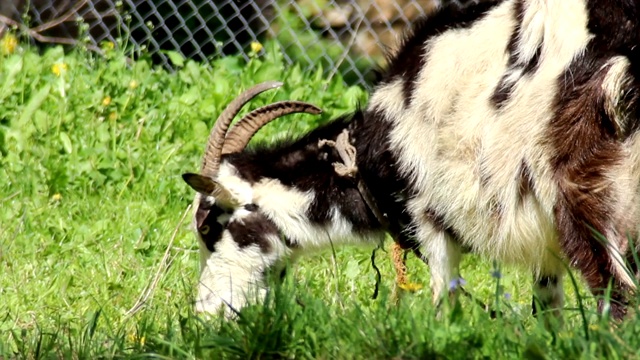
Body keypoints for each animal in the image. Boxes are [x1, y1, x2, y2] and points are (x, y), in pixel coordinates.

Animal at [181, 0, 640, 320]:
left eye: (212, 226)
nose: (206, 312)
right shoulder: (543, 243)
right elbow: (547, 309)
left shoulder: (429, 217)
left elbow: (444, 302)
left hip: (584, 195)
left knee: (619, 296)